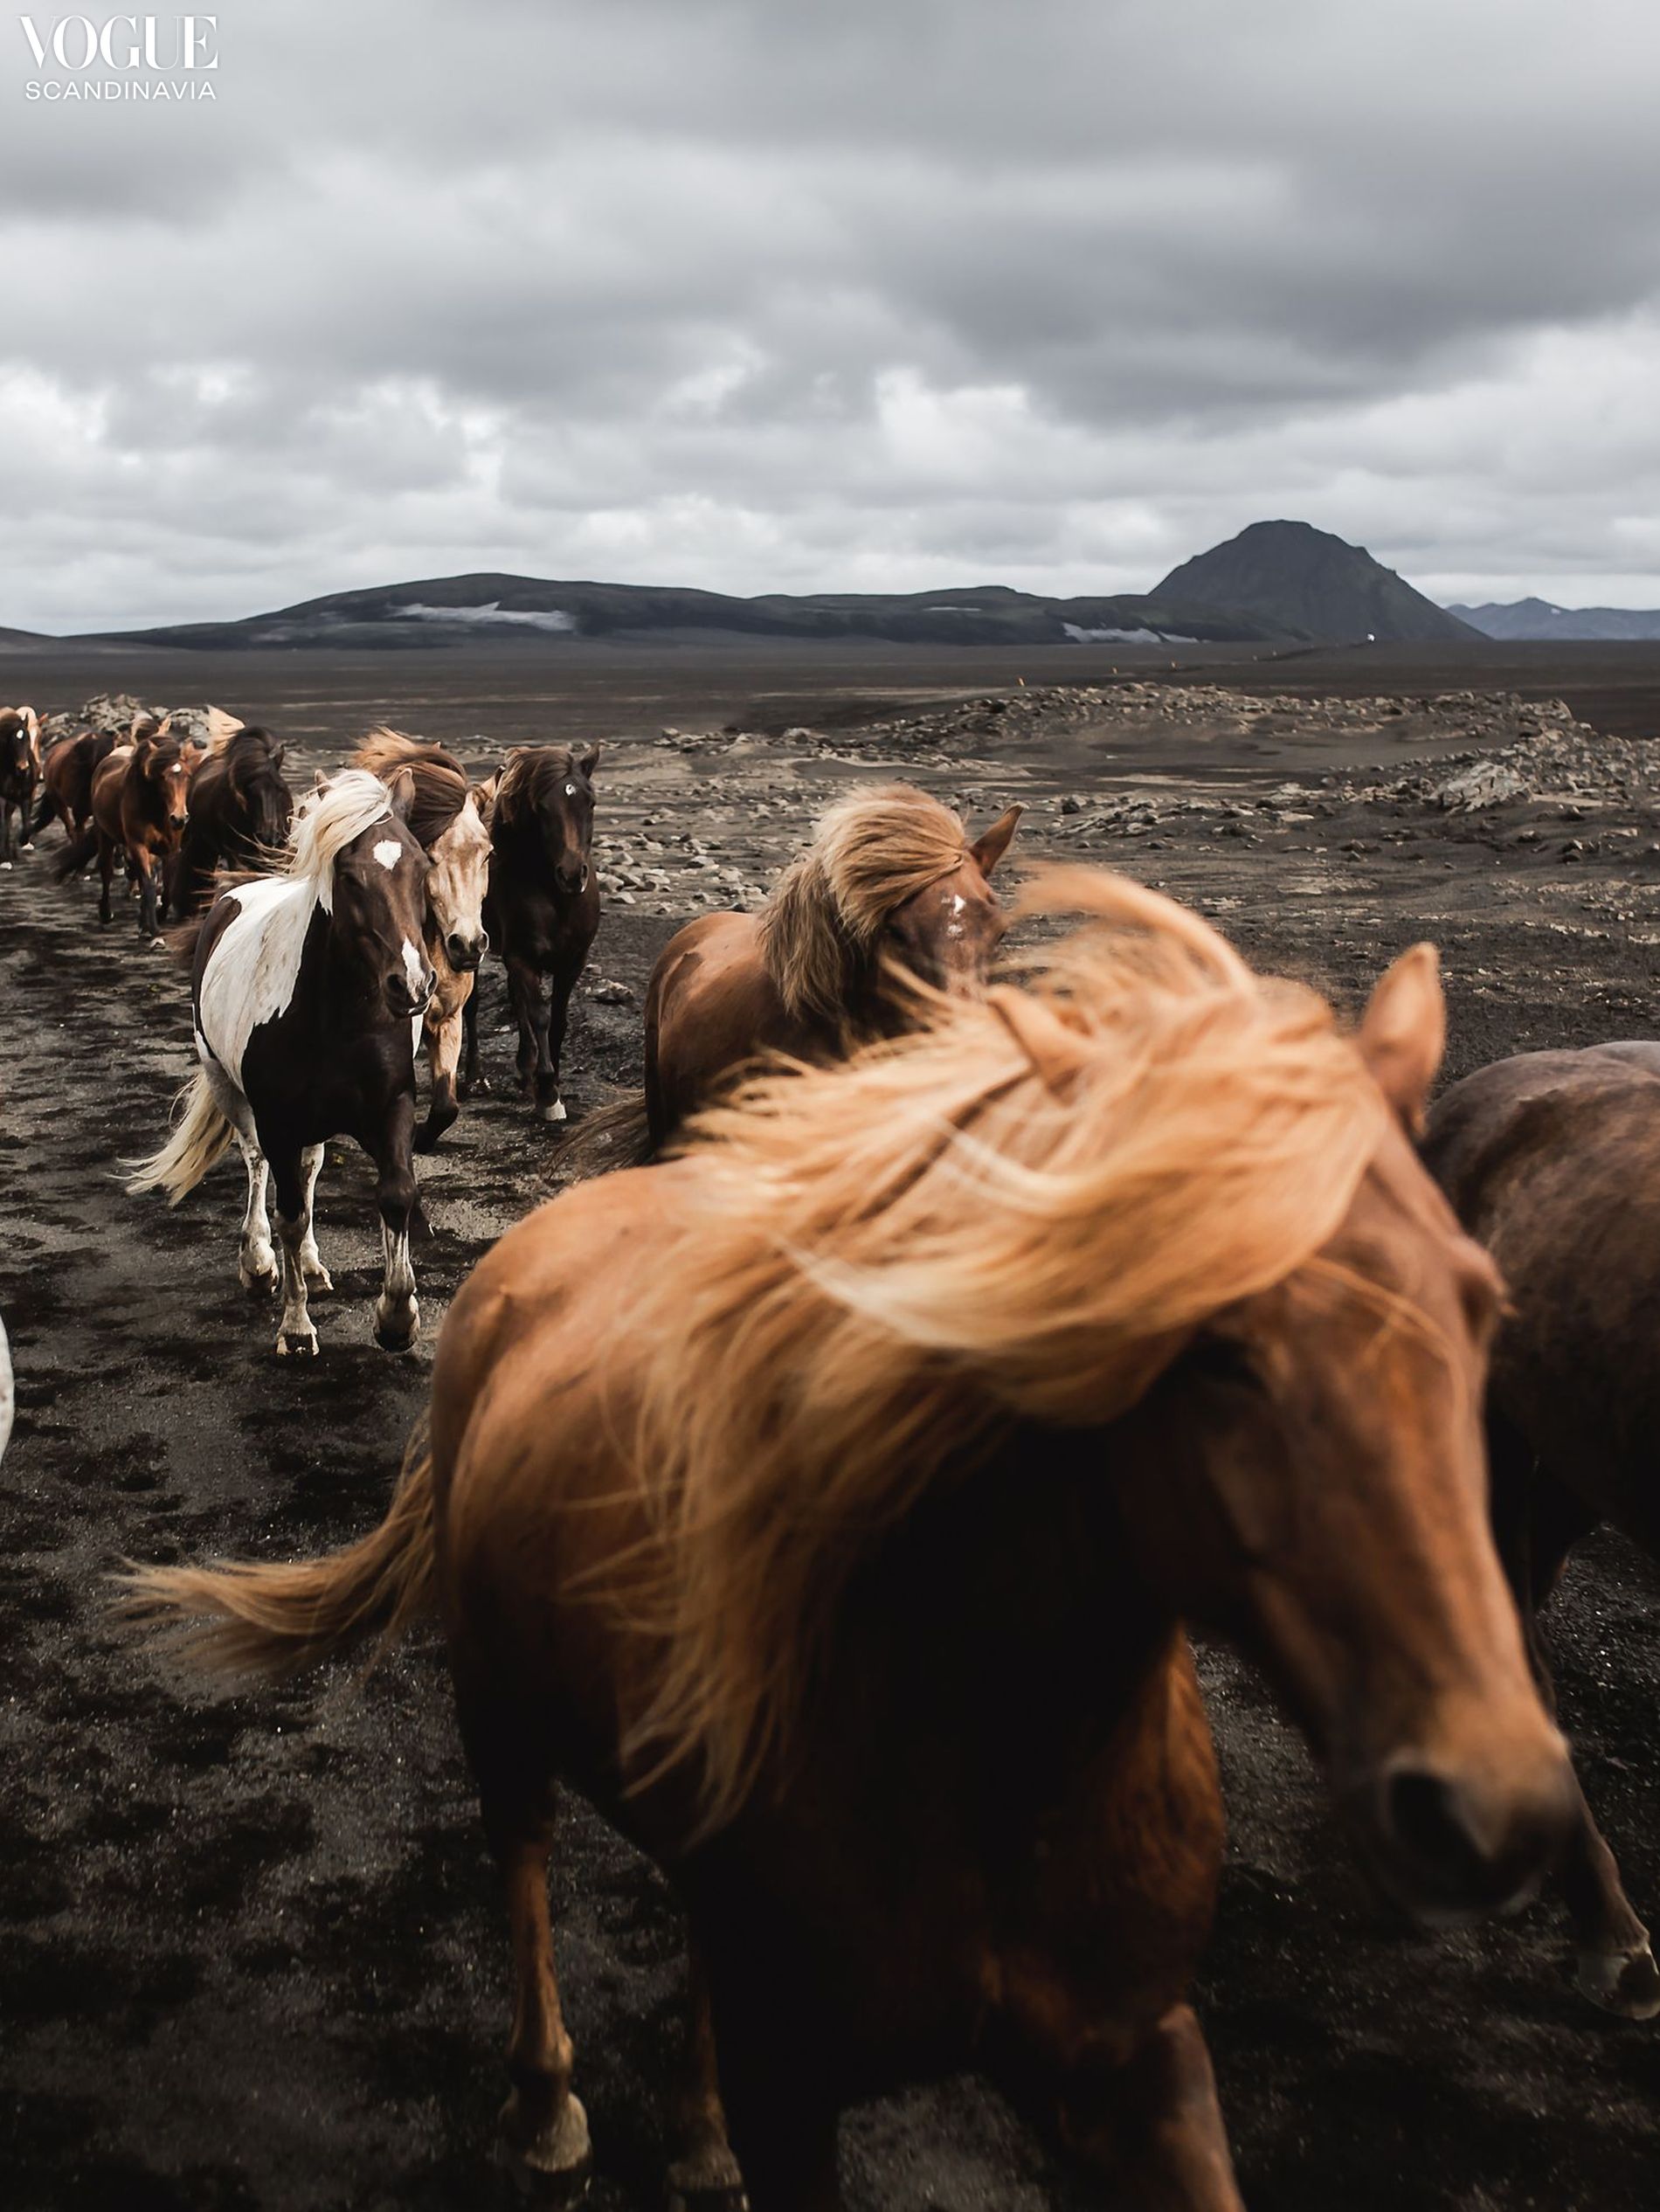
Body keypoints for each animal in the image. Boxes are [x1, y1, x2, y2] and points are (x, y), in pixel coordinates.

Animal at [0, 706, 42, 868]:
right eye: (12, 741)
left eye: (27, 739)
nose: (24, 768)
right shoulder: (3, 799)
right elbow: (4, 827)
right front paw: (4, 860)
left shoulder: (26, 796)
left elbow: (26, 824)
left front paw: (23, 842)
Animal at [124, 871, 1576, 2211]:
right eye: (1210, 1346)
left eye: (1481, 1305)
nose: (1494, 1801)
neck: (1000, 1761)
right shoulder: (801, 2084)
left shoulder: (1143, 2058)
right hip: (501, 1715)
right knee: (526, 1869)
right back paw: (548, 2111)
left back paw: (692, 2134)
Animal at [126, 771, 435, 1359]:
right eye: (349, 876)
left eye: (422, 867)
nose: (412, 984)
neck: (337, 1017)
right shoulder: (279, 1121)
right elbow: (288, 1214)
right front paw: (295, 1326)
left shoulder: (392, 1106)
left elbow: (397, 1194)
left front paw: (397, 1317)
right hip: (229, 1088)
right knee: (256, 1164)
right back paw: (258, 1262)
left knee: (311, 1172)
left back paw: (311, 1266)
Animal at [351, 729, 496, 1152]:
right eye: (430, 857)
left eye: (487, 854)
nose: (468, 945)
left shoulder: (448, 1018)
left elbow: (447, 1106)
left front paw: (420, 1137)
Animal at [462, 744, 600, 1125]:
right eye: (542, 807)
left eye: (590, 802)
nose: (572, 875)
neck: (556, 897)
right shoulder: (522, 957)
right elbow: (539, 1015)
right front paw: (548, 1092)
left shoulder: (573, 962)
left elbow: (559, 1020)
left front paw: (547, 1080)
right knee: (473, 1007)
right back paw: (476, 1077)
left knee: (516, 1001)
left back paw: (524, 1070)